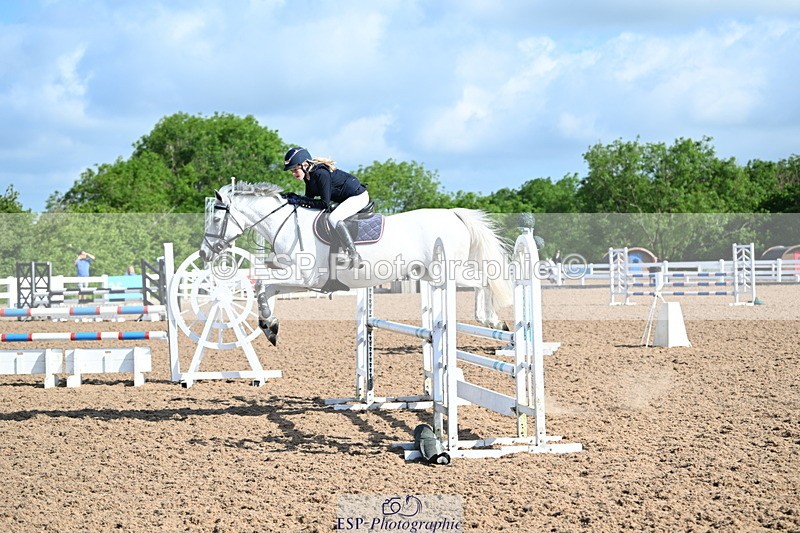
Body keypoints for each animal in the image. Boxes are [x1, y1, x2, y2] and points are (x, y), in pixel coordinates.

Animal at [199, 182, 513, 346]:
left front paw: (270, 326)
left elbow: (263, 282)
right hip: (430, 273)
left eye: (215, 218)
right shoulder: (296, 279)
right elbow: (264, 288)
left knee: (482, 282)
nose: (204, 253)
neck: (286, 225)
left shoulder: (305, 278)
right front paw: (270, 326)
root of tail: (453, 213)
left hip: (449, 271)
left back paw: (492, 320)